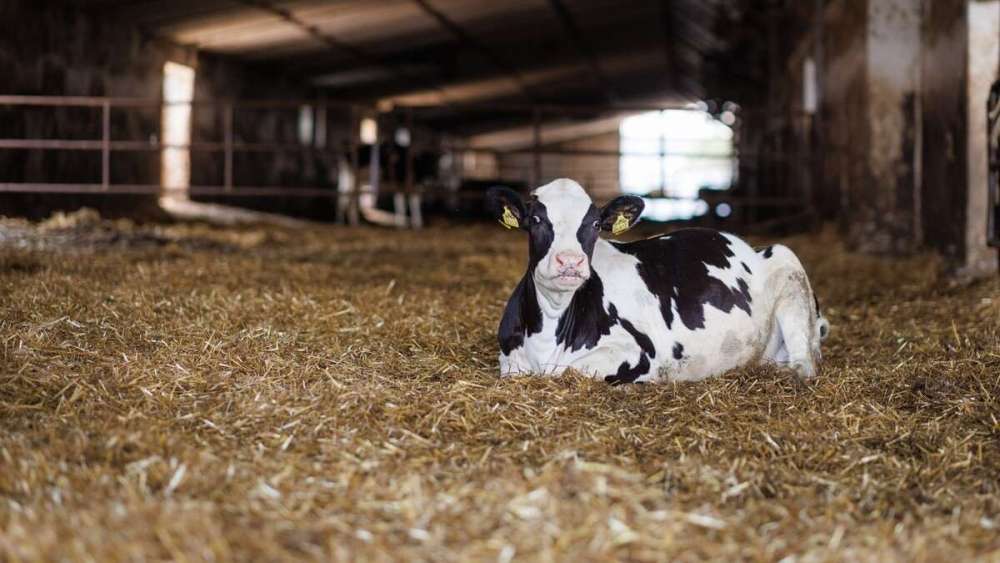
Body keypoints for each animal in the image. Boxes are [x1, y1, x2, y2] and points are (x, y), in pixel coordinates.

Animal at [486, 178, 829, 384]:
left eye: (595, 224)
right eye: (535, 219)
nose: (570, 261)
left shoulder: (637, 351)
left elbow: (570, 369)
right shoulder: (508, 359)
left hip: (790, 271)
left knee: (806, 362)